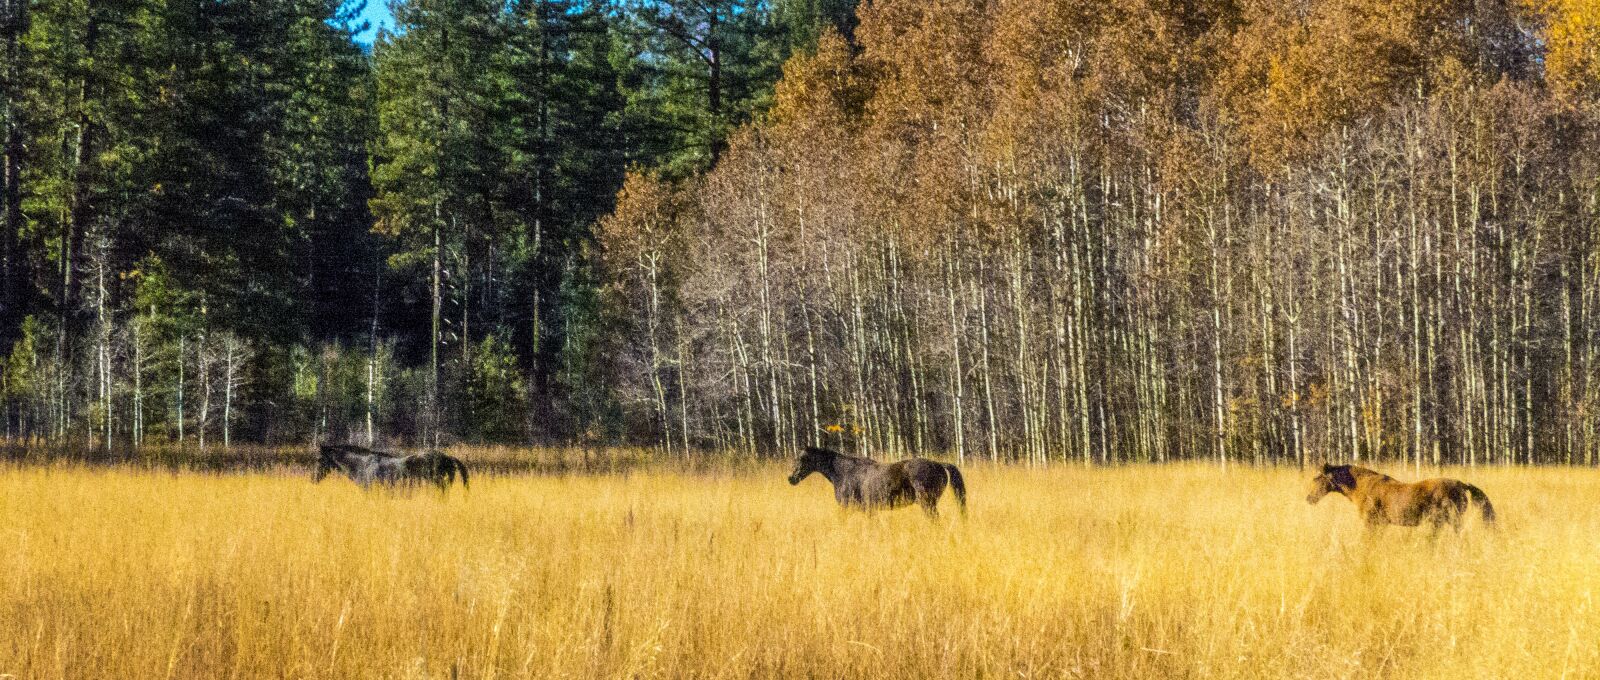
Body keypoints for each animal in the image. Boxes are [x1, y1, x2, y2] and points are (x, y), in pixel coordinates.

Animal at [787, 446, 966, 518]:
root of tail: (939, 464)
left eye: (801, 459)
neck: (844, 473)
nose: (791, 479)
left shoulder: (847, 507)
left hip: (928, 503)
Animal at [1306, 463, 1494, 531]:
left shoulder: (1371, 522)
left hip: (1447, 519)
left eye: (1317, 478)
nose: (1309, 498)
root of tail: (1461, 484)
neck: (1363, 487)